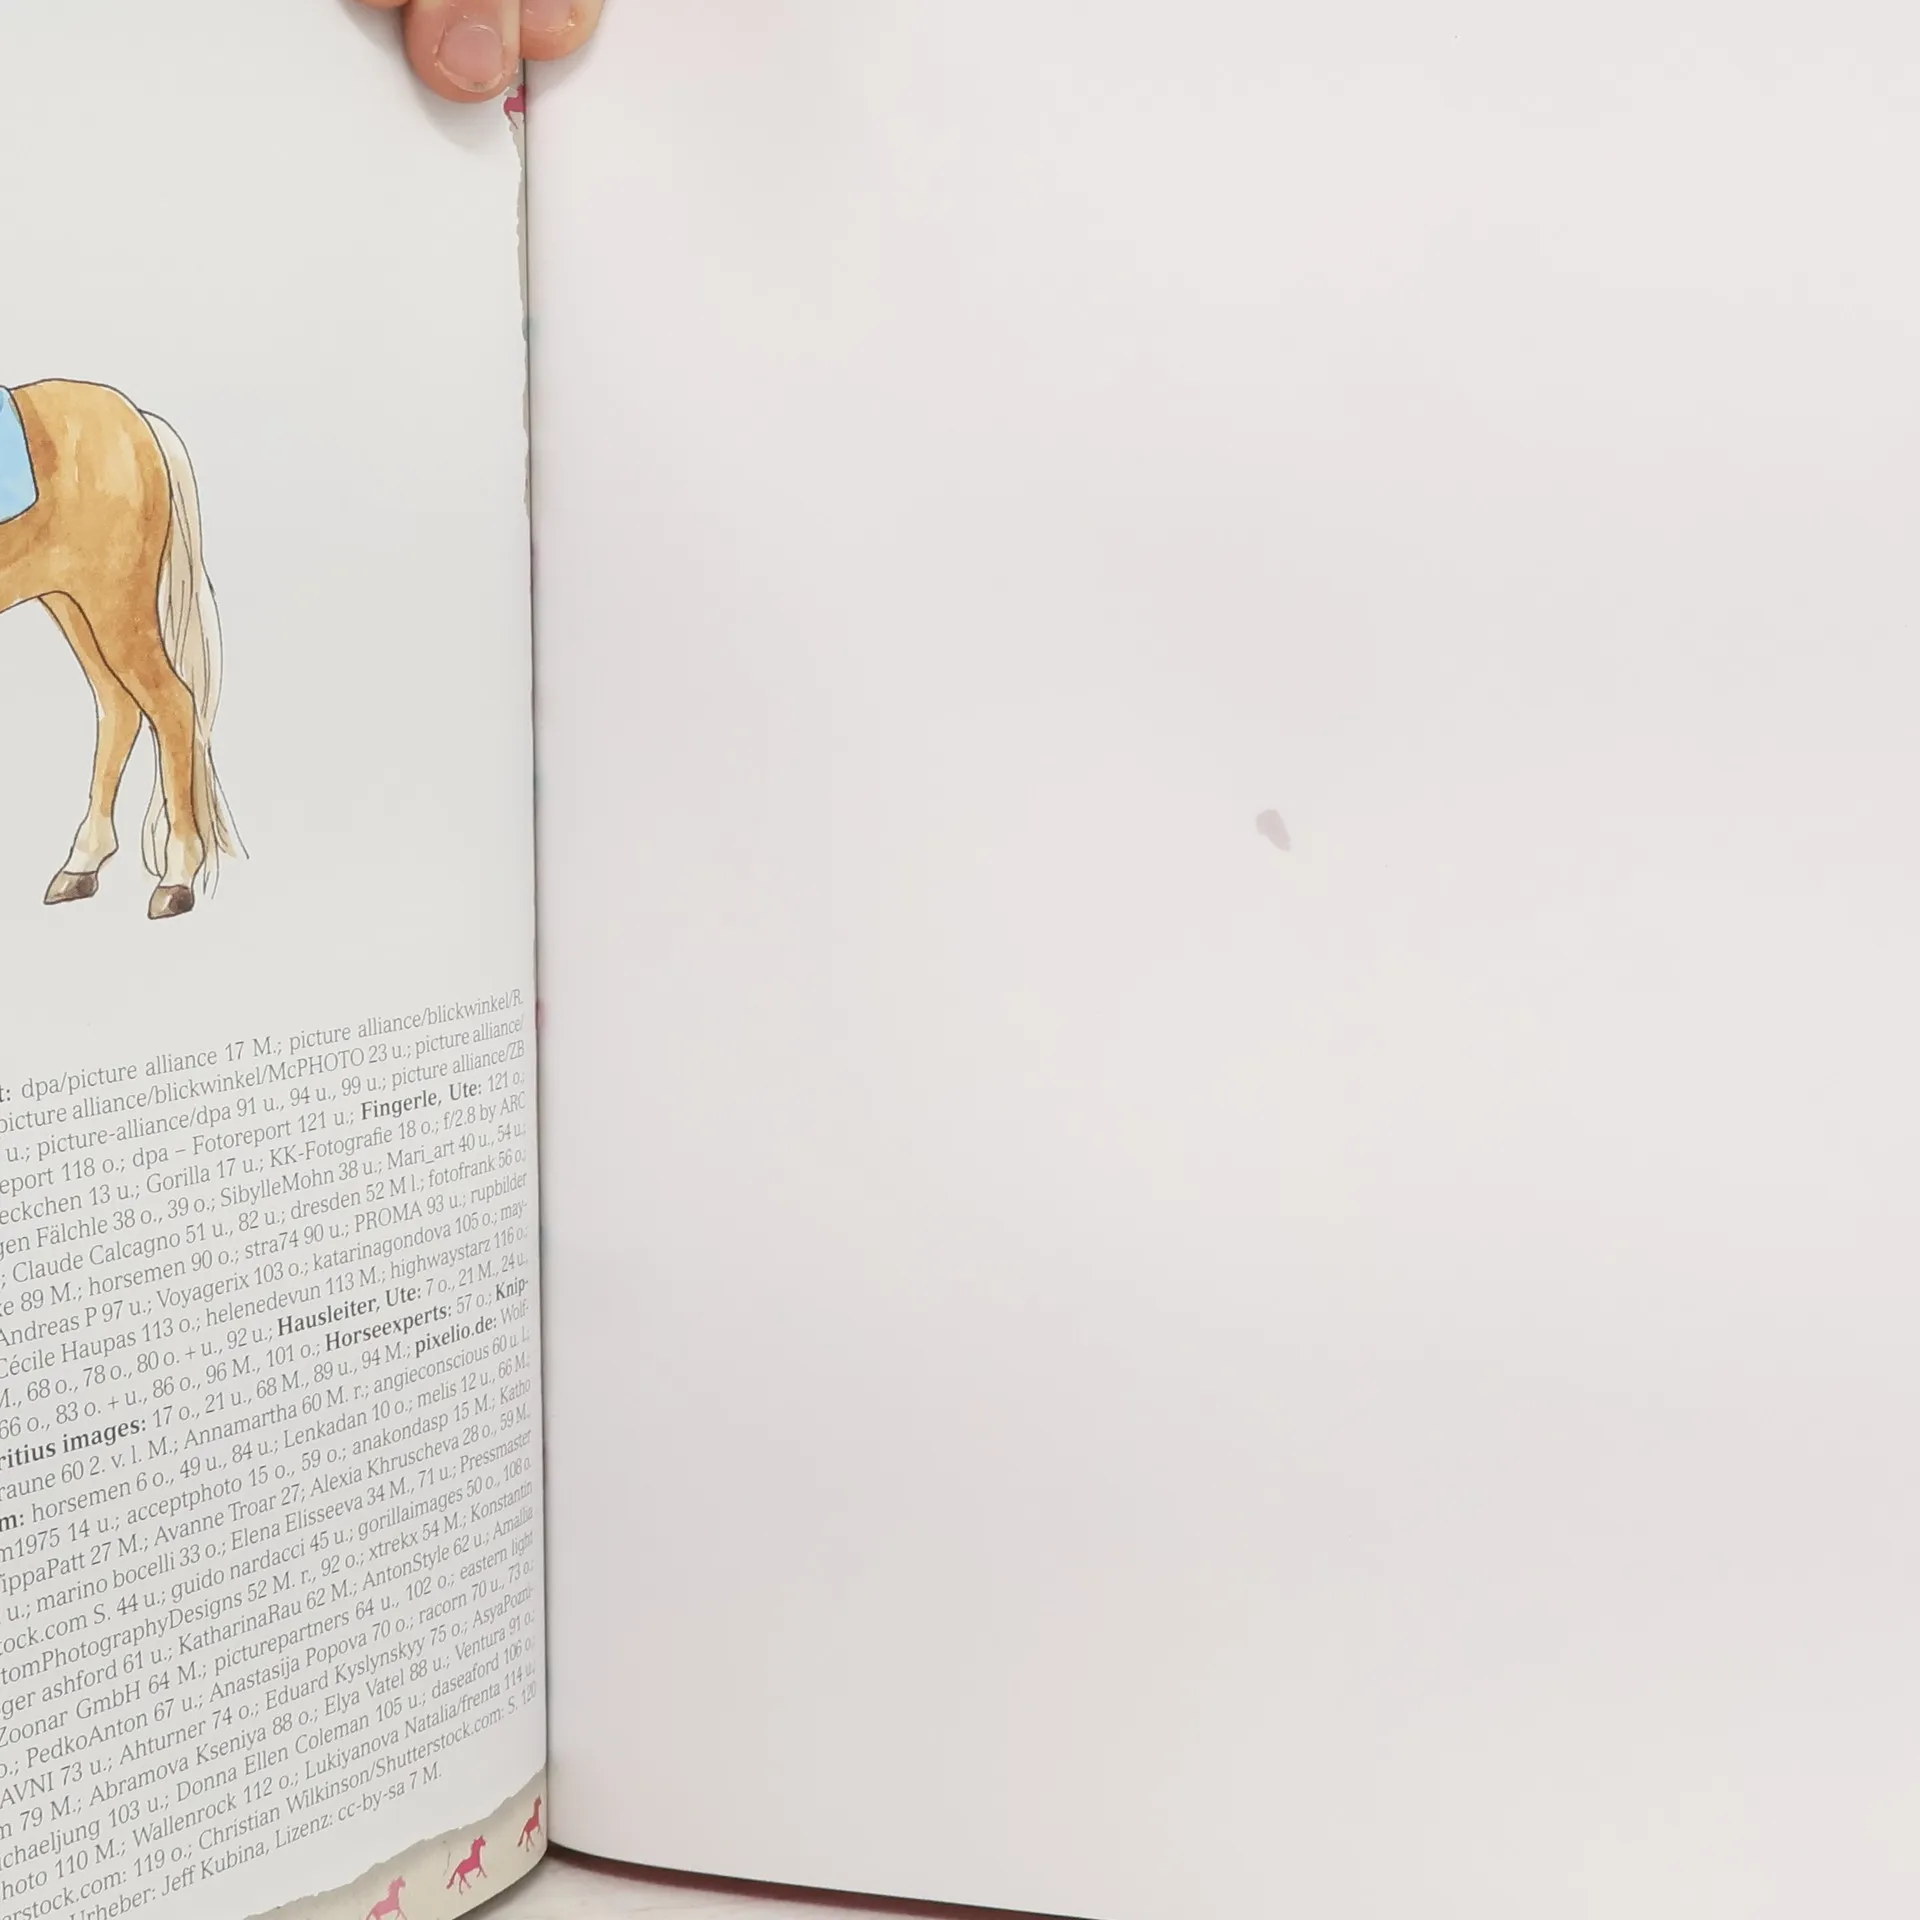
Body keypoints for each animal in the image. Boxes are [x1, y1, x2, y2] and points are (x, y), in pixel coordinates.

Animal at [0, 379, 240, 918]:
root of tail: (136, 418)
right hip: (73, 603)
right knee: (119, 708)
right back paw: (81, 866)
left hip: (115, 607)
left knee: (172, 706)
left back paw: (177, 879)